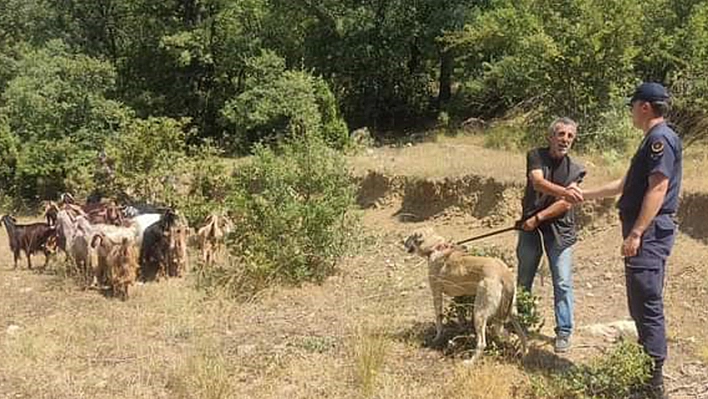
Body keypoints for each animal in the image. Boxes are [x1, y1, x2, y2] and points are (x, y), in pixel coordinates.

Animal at [404, 228, 524, 366]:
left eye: (410, 236)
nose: (402, 242)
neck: (435, 247)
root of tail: (504, 273)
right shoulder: (459, 295)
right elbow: (460, 315)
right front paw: (460, 329)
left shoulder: (436, 294)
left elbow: (439, 319)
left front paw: (437, 338)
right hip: (511, 312)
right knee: (517, 335)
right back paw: (521, 353)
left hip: (479, 313)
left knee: (483, 343)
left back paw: (470, 361)